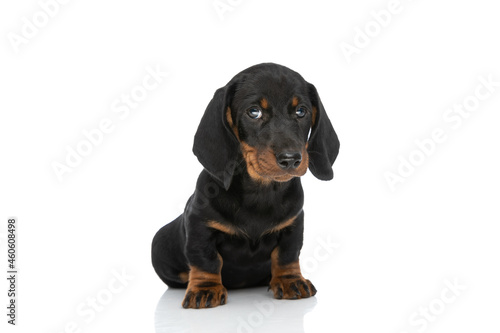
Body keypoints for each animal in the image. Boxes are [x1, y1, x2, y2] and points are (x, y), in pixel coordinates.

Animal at [151, 63, 340, 308]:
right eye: (254, 112)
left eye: (301, 111)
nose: (291, 159)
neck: (260, 190)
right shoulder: (199, 226)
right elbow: (205, 259)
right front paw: (205, 288)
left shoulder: (294, 224)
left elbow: (287, 255)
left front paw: (290, 281)